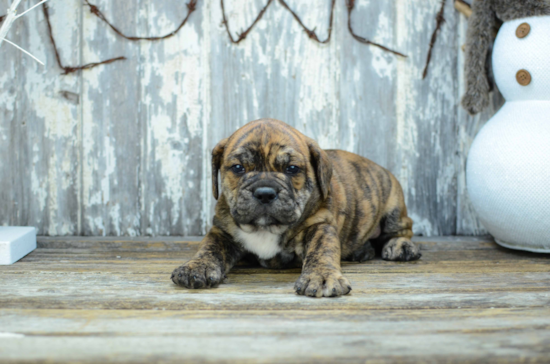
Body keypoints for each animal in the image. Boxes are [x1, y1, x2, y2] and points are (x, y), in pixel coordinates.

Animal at [172, 118, 422, 298]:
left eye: (292, 168)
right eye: (238, 168)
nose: (265, 192)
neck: (265, 229)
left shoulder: (320, 226)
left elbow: (321, 251)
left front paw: (321, 277)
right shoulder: (222, 231)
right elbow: (209, 248)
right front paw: (196, 267)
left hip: (393, 204)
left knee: (401, 230)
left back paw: (400, 246)